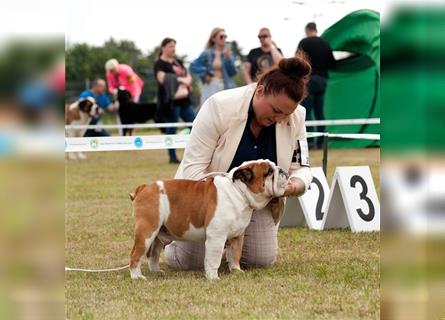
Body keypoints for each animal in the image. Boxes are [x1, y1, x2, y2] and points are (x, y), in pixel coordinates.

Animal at [128, 159, 288, 280]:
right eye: (269, 172)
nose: (282, 170)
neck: (238, 192)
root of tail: (144, 188)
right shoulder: (216, 238)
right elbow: (213, 259)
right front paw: (213, 277)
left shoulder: (237, 237)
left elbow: (235, 255)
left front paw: (236, 271)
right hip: (147, 231)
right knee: (135, 254)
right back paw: (137, 276)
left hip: (158, 235)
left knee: (153, 254)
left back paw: (156, 272)